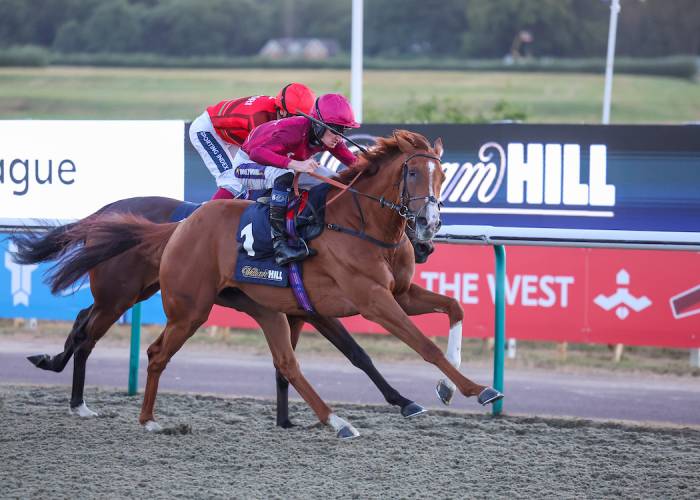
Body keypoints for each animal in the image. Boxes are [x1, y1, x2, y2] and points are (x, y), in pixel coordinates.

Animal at [12, 195, 432, 426]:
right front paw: (404, 401)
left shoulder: (295, 308)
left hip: (134, 291)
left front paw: (287, 419)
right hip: (121, 294)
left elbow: (289, 361)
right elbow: (356, 353)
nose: (426, 243)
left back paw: (58, 373)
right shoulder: (314, 308)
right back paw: (76, 399)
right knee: (87, 333)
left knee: (82, 322)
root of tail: (105, 213)